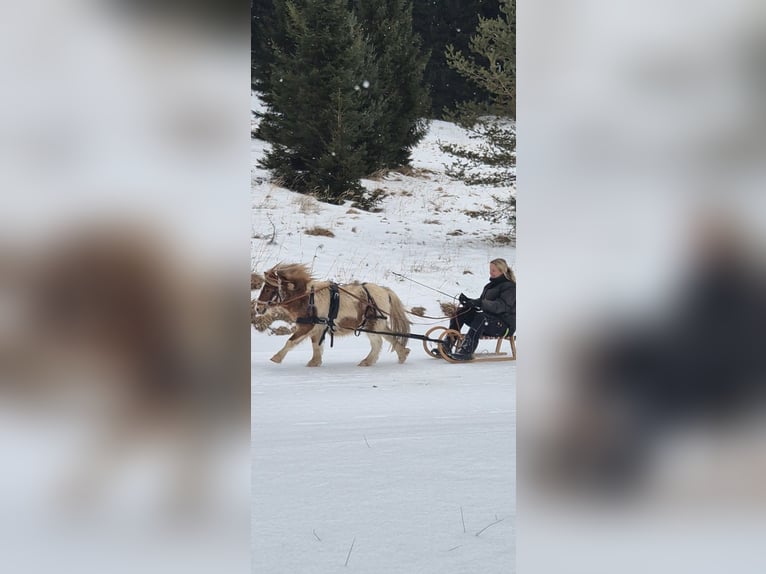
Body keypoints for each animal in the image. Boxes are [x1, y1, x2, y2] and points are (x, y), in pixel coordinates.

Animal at [255, 263, 411, 367]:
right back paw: (402, 354)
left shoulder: (307, 326)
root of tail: (385, 291)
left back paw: (368, 361)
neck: (306, 297)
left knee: (378, 342)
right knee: (390, 336)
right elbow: (315, 345)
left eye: (268, 289)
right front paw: (314, 362)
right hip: (377, 324)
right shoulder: (317, 328)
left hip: (372, 324)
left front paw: (276, 358)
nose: (258, 308)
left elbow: (290, 341)